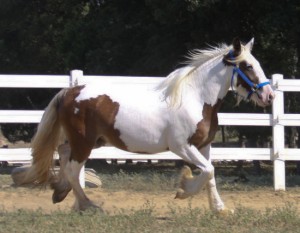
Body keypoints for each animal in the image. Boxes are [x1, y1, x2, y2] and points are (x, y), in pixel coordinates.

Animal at [11, 38, 274, 215]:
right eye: (248, 66)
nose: (269, 95)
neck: (195, 98)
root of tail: (70, 91)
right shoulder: (182, 147)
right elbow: (207, 171)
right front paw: (183, 189)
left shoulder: (204, 146)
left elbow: (210, 173)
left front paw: (219, 209)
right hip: (84, 142)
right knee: (73, 168)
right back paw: (88, 205)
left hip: (88, 142)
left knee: (64, 157)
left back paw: (62, 193)